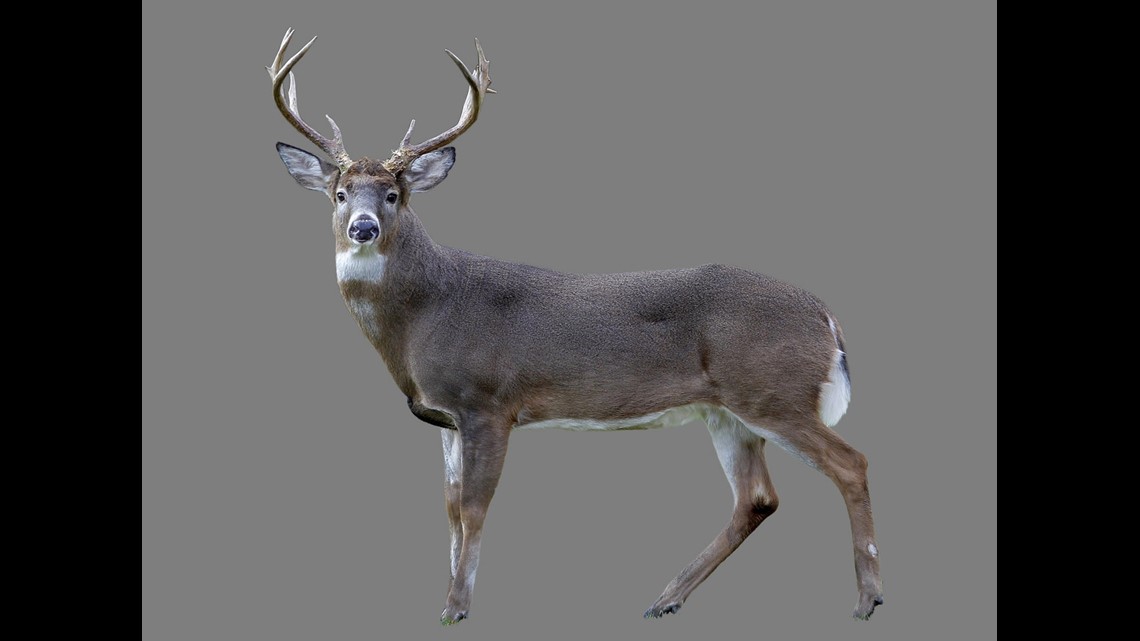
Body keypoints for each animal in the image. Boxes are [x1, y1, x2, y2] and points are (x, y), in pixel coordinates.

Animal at [267, 28, 884, 625]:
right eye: (339, 194)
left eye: (394, 194)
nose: (363, 227)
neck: (425, 315)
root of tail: (828, 318)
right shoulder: (445, 416)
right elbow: (448, 508)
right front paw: (444, 598)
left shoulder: (489, 402)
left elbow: (473, 507)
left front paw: (457, 608)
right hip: (729, 412)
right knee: (756, 498)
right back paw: (665, 599)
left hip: (772, 391)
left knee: (850, 463)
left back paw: (867, 599)